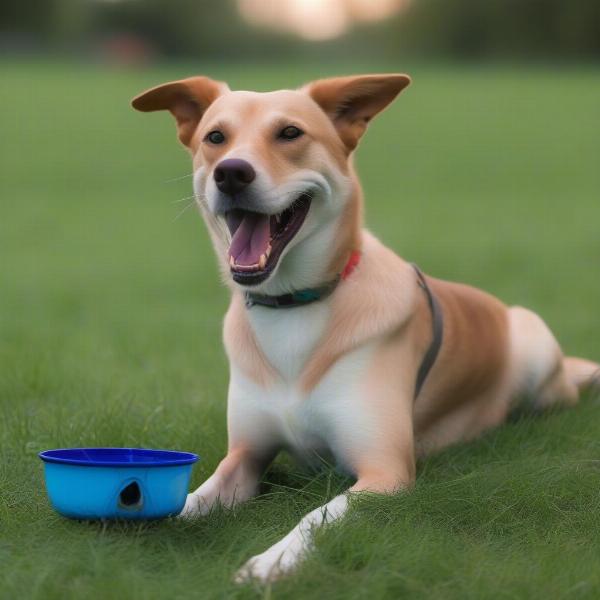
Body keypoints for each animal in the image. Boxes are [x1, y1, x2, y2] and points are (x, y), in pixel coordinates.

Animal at [132, 74, 600, 580]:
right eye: (215, 137)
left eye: (290, 133)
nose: (231, 173)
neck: (294, 305)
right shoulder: (245, 456)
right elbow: (193, 498)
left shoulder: (384, 473)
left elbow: (319, 514)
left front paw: (273, 560)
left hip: (535, 347)